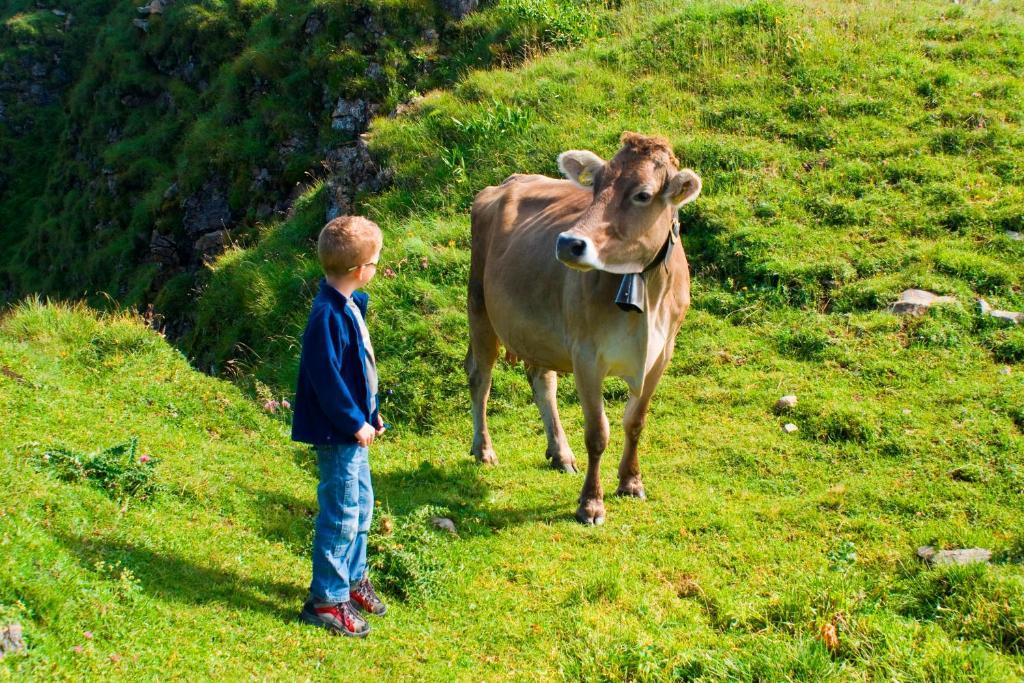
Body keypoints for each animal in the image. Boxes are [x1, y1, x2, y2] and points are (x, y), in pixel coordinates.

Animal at [466, 135, 700, 528]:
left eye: (642, 194)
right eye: (596, 184)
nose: (567, 243)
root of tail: (506, 182)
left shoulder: (661, 355)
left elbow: (635, 422)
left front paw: (631, 482)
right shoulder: (587, 355)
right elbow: (597, 433)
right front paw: (591, 503)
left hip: (538, 327)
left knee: (542, 380)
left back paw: (560, 453)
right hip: (479, 305)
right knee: (480, 377)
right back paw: (483, 449)